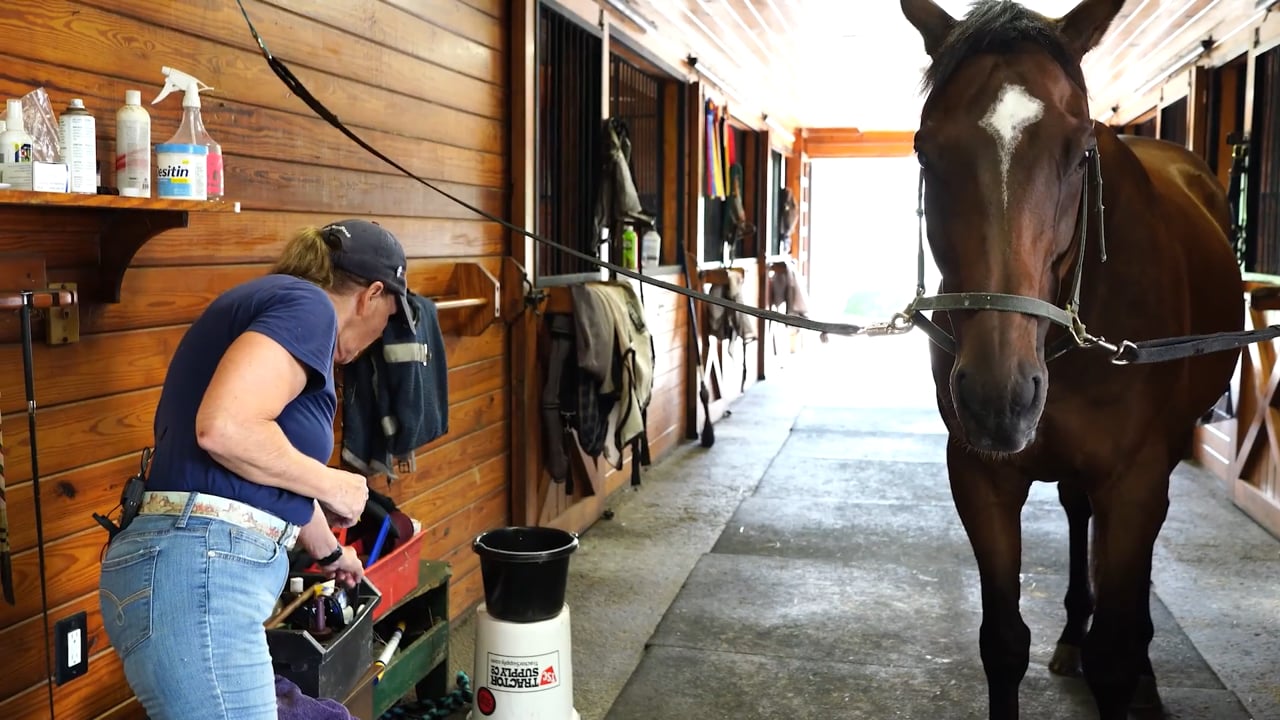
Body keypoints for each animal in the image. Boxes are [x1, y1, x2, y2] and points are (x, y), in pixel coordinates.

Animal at [898, 1, 1245, 718]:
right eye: (924, 148)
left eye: (1081, 151)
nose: (998, 399)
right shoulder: (981, 476)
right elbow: (1003, 643)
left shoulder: (1134, 479)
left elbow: (1113, 655)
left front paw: (1127, 668)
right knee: (1077, 511)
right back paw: (1070, 637)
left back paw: (1144, 675)